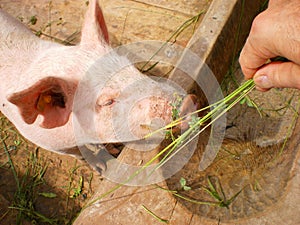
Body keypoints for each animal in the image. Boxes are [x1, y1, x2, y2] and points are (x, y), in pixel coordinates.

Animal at [0, 0, 197, 170]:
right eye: (107, 102)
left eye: (132, 67)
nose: (188, 101)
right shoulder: (47, 143)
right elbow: (77, 153)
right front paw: (101, 168)